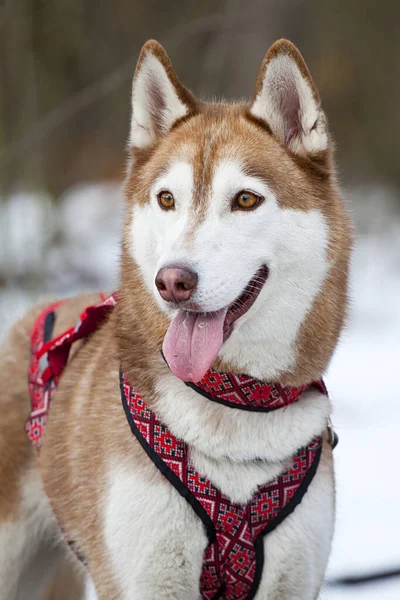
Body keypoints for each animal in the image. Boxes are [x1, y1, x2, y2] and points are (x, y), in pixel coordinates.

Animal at [0, 38, 350, 600]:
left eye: (246, 199)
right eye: (167, 198)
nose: (172, 281)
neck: (234, 407)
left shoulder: (294, 581)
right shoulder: (144, 579)